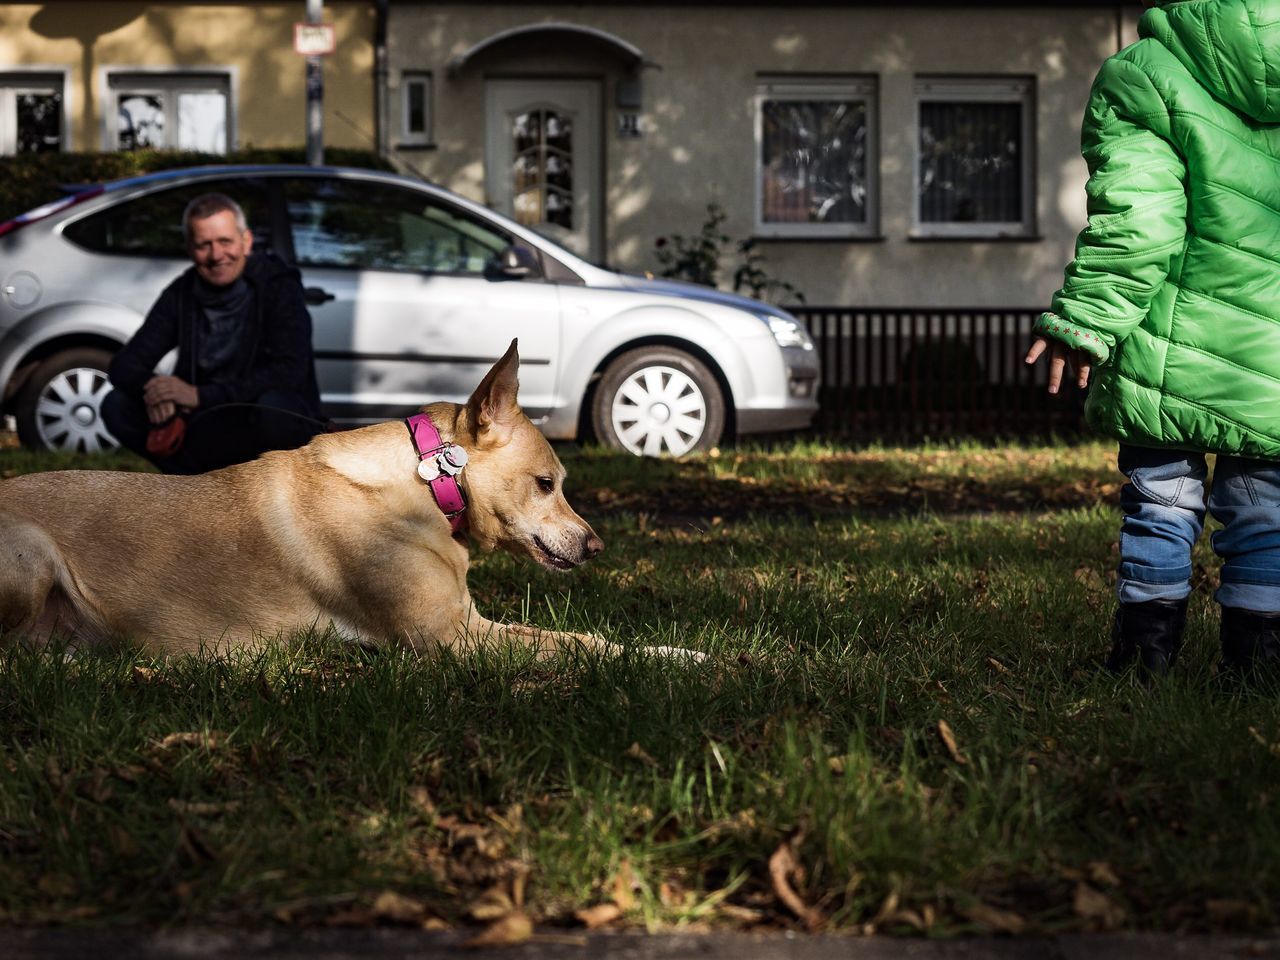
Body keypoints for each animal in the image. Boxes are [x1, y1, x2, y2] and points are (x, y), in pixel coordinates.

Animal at [2, 337, 701, 660]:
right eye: (546, 484)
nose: (596, 547)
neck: (425, 488)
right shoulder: (452, 638)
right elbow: (588, 644)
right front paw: (688, 657)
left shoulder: (469, 624)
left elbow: (581, 635)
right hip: (31, 555)